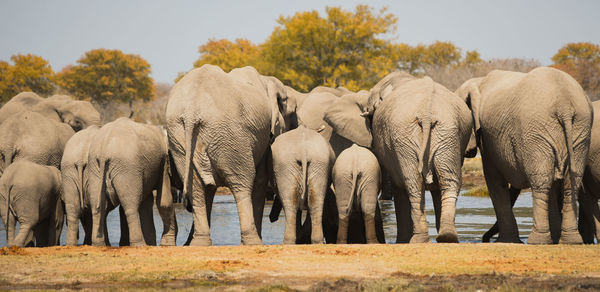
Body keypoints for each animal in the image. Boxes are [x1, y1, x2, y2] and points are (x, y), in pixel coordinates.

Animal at [87, 117, 176, 245]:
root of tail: (105, 147)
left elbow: (147, 202)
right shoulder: (163, 160)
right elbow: (164, 202)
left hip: (94, 167)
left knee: (97, 207)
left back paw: (98, 244)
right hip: (127, 167)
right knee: (131, 208)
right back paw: (140, 245)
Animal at [165, 64, 294, 246]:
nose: (273, 219)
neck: (266, 80)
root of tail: (192, 110)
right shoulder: (262, 136)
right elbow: (260, 179)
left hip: (179, 137)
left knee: (196, 188)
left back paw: (199, 243)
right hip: (230, 135)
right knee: (242, 182)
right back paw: (253, 242)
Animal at [326, 72, 476, 243]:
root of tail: (427, 112)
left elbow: (399, 187)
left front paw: (402, 241)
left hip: (407, 135)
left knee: (414, 183)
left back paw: (419, 240)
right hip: (447, 132)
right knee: (449, 180)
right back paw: (447, 237)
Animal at [454, 66, 592, 244]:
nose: (484, 238)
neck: (478, 82)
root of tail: (565, 105)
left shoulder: (487, 140)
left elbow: (494, 182)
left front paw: (506, 241)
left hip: (537, 131)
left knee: (542, 182)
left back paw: (538, 241)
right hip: (579, 130)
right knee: (569, 182)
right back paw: (570, 241)